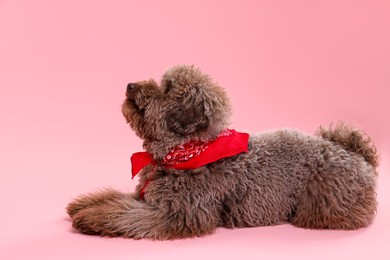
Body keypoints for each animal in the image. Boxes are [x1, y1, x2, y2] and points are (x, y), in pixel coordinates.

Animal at [66, 65, 378, 240]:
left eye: (166, 89)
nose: (130, 85)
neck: (186, 151)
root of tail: (354, 153)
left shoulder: (179, 213)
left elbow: (124, 215)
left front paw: (90, 218)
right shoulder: (148, 196)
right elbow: (116, 199)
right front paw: (83, 205)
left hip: (324, 202)